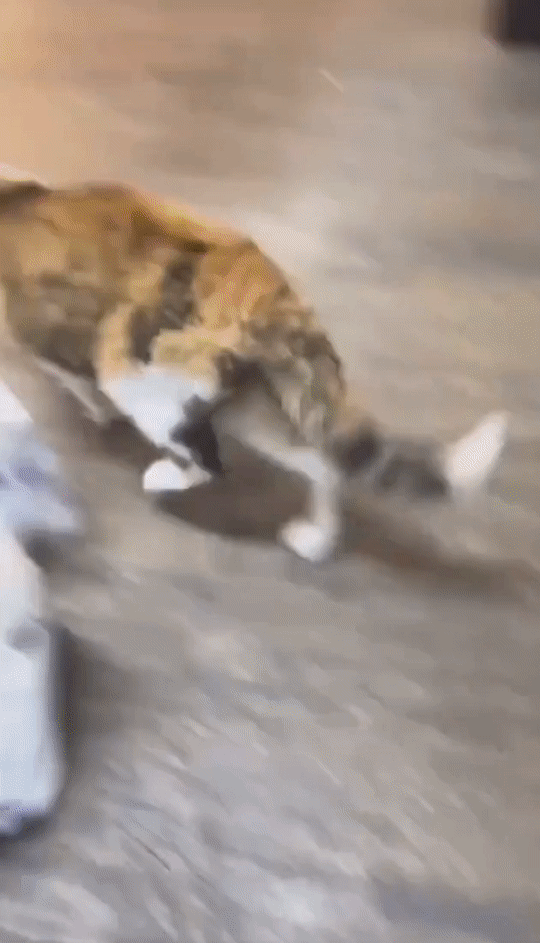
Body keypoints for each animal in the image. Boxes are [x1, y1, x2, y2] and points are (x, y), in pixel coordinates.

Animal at [0, 172, 508, 561]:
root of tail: (271, 300)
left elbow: (66, 373)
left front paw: (92, 407)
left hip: (143, 376)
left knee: (209, 463)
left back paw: (161, 477)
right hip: (251, 404)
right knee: (321, 465)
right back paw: (317, 540)